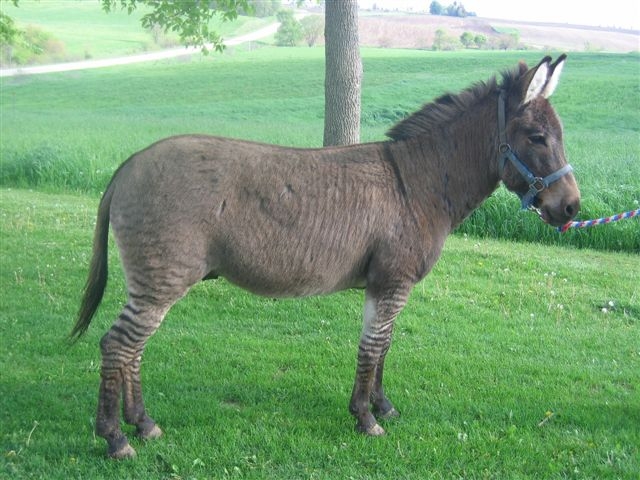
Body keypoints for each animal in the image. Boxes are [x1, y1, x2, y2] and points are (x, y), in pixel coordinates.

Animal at [71, 55, 580, 458]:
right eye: (537, 137)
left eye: (556, 135)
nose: (573, 208)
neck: (418, 183)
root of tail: (130, 162)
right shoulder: (391, 282)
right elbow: (372, 347)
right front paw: (365, 419)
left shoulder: (387, 285)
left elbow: (384, 345)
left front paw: (382, 406)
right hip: (162, 279)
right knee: (117, 346)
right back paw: (116, 438)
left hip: (155, 282)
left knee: (132, 349)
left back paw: (144, 424)